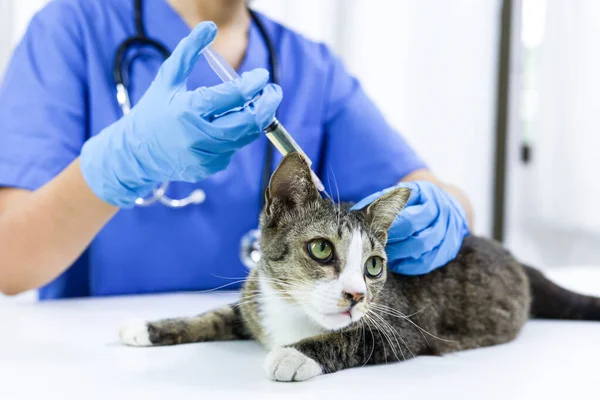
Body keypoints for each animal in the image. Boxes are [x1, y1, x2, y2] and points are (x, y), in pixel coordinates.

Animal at [119, 152, 600, 382]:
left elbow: (354, 339)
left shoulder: (401, 326)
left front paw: (295, 355)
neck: (295, 313)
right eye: (320, 250)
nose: (356, 294)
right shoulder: (255, 300)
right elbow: (217, 314)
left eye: (373, 266)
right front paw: (150, 327)